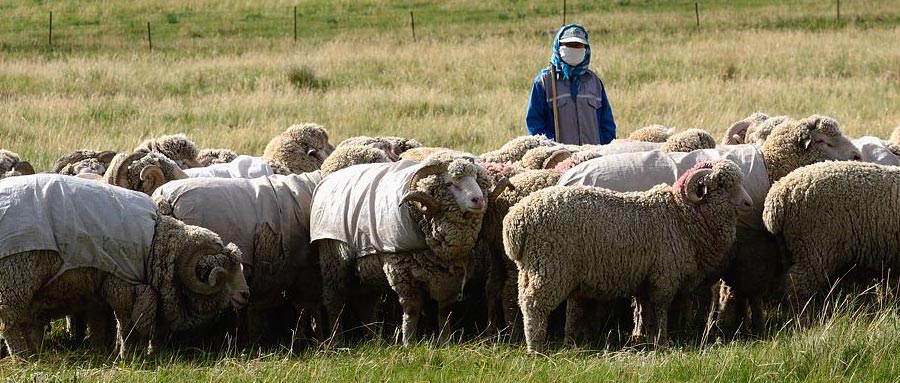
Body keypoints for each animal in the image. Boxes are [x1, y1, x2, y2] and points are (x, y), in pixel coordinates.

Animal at [0, 175, 250, 360]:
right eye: (224, 270)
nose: (246, 294)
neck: (157, 244)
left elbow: (106, 323)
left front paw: (112, 352)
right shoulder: (122, 285)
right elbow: (127, 323)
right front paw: (127, 355)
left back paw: (33, 354)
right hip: (14, 281)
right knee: (10, 325)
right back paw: (23, 358)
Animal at [312, 154, 502, 346]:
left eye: (476, 179)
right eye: (449, 183)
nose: (478, 200)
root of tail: (327, 180)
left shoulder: (451, 276)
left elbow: (445, 310)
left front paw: (445, 342)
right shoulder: (401, 273)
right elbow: (412, 309)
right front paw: (409, 342)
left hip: (366, 270)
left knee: (366, 302)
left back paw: (371, 339)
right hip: (334, 259)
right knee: (334, 300)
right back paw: (336, 341)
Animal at [506, 160, 752, 352]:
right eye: (722, 185)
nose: (749, 203)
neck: (681, 216)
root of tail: (515, 223)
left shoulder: (646, 278)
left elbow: (645, 310)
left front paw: (643, 338)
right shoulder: (664, 276)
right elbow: (660, 308)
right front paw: (662, 341)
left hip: (530, 269)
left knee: (524, 301)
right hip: (551, 267)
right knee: (534, 305)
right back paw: (536, 349)